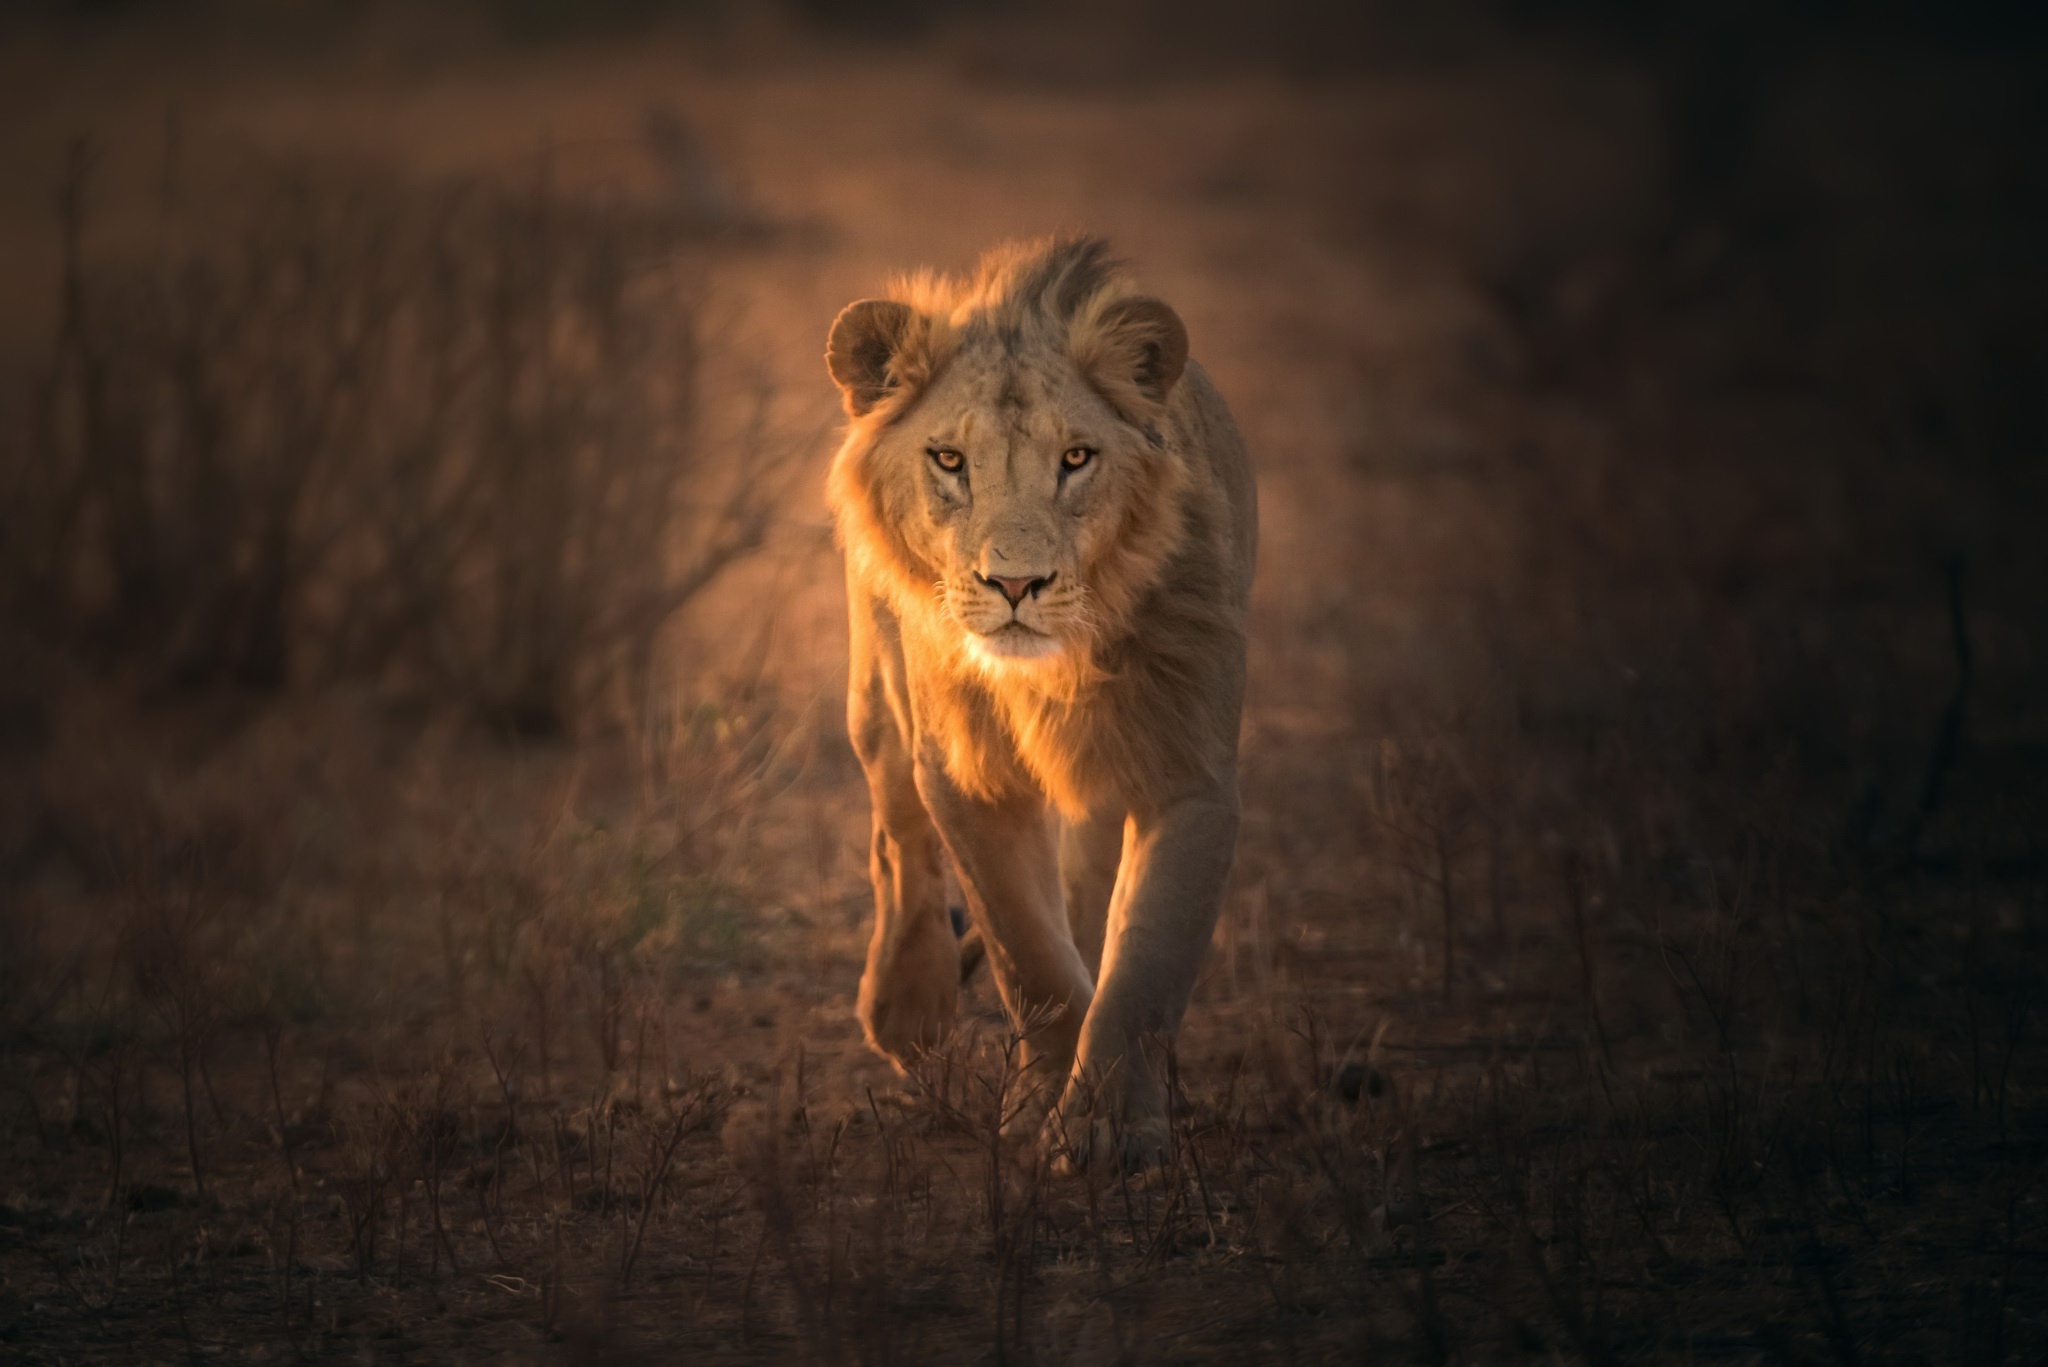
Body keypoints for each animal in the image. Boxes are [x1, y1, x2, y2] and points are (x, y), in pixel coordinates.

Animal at [824, 236, 1256, 1167]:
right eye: (950, 460)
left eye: (1077, 459)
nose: (1015, 584)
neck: (1055, 671)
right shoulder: (968, 776)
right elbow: (1028, 954)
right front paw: (1038, 1107)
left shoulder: (1191, 770)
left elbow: (1146, 957)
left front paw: (1107, 1126)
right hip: (876, 679)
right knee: (895, 824)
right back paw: (908, 1007)